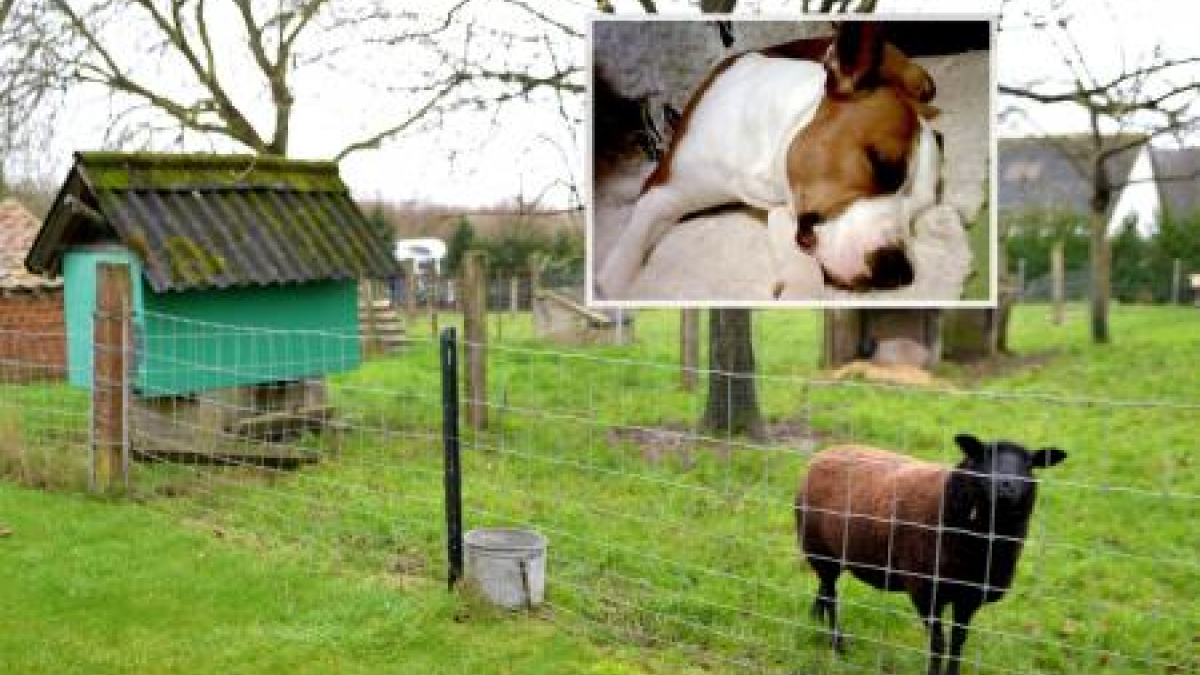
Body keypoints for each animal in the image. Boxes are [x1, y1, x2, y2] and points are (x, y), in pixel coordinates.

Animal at [600, 22, 945, 296]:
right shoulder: (666, 192)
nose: (898, 272)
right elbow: (627, 249)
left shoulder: (785, 203)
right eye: (881, 167)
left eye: (920, 209)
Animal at [796, 432, 1070, 667]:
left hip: (834, 552)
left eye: (1029, 464)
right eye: (984, 456)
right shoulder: (926, 590)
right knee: (831, 596)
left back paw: (815, 619)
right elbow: (938, 645)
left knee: (825, 587)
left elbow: (958, 643)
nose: (1006, 485)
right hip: (817, 548)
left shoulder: (969, 596)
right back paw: (837, 643)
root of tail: (826, 452)